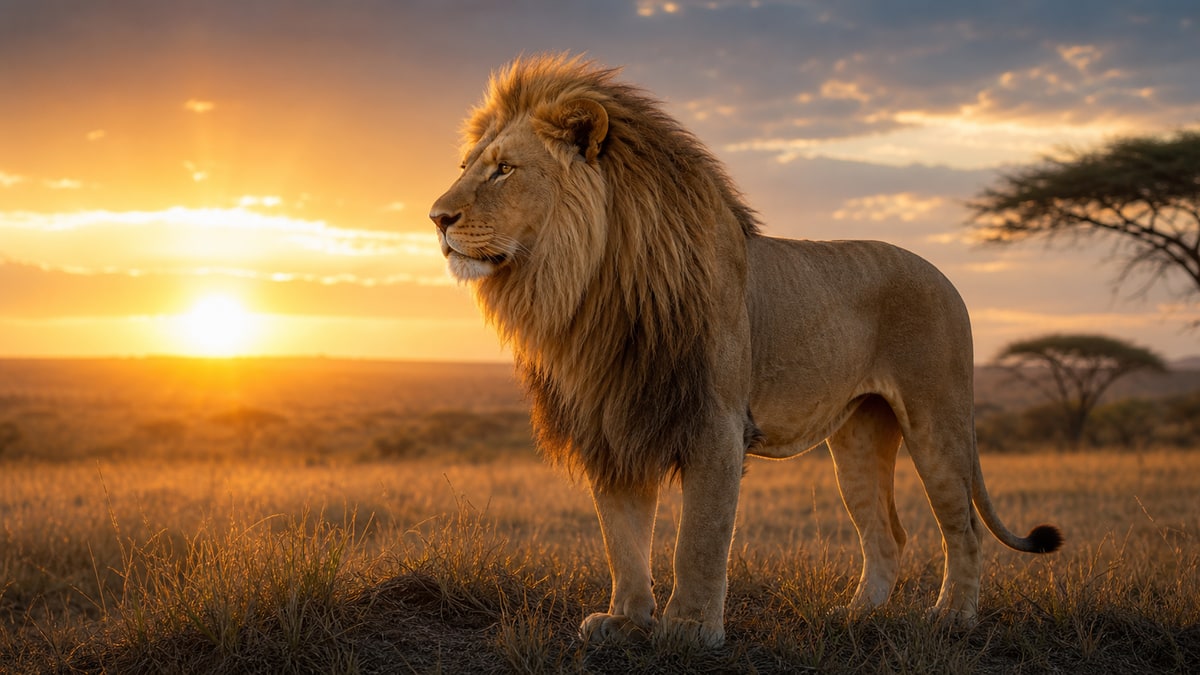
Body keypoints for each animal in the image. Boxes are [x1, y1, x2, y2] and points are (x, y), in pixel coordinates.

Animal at [429, 54, 1062, 647]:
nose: (436, 218)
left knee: (964, 529)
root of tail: (946, 278)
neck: (591, 288)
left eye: (504, 170)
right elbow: (622, 537)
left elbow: (699, 538)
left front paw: (689, 629)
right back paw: (855, 617)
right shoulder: (614, 423)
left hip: (937, 419)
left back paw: (953, 618)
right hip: (858, 436)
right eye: (465, 168)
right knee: (887, 533)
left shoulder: (715, 423)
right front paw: (627, 620)